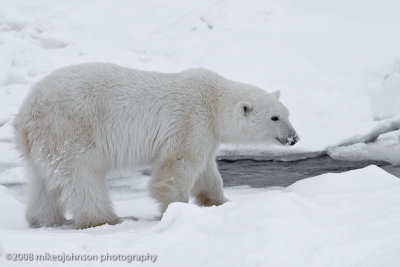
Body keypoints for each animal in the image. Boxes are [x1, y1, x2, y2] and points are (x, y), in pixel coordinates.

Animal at [13, 63, 296, 230]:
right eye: (275, 118)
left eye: (287, 113)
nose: (294, 137)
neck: (213, 100)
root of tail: (27, 112)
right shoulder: (191, 121)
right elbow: (178, 166)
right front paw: (177, 209)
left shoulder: (206, 132)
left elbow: (207, 170)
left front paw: (219, 201)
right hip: (71, 129)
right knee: (82, 176)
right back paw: (105, 219)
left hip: (44, 141)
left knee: (44, 180)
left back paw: (46, 219)